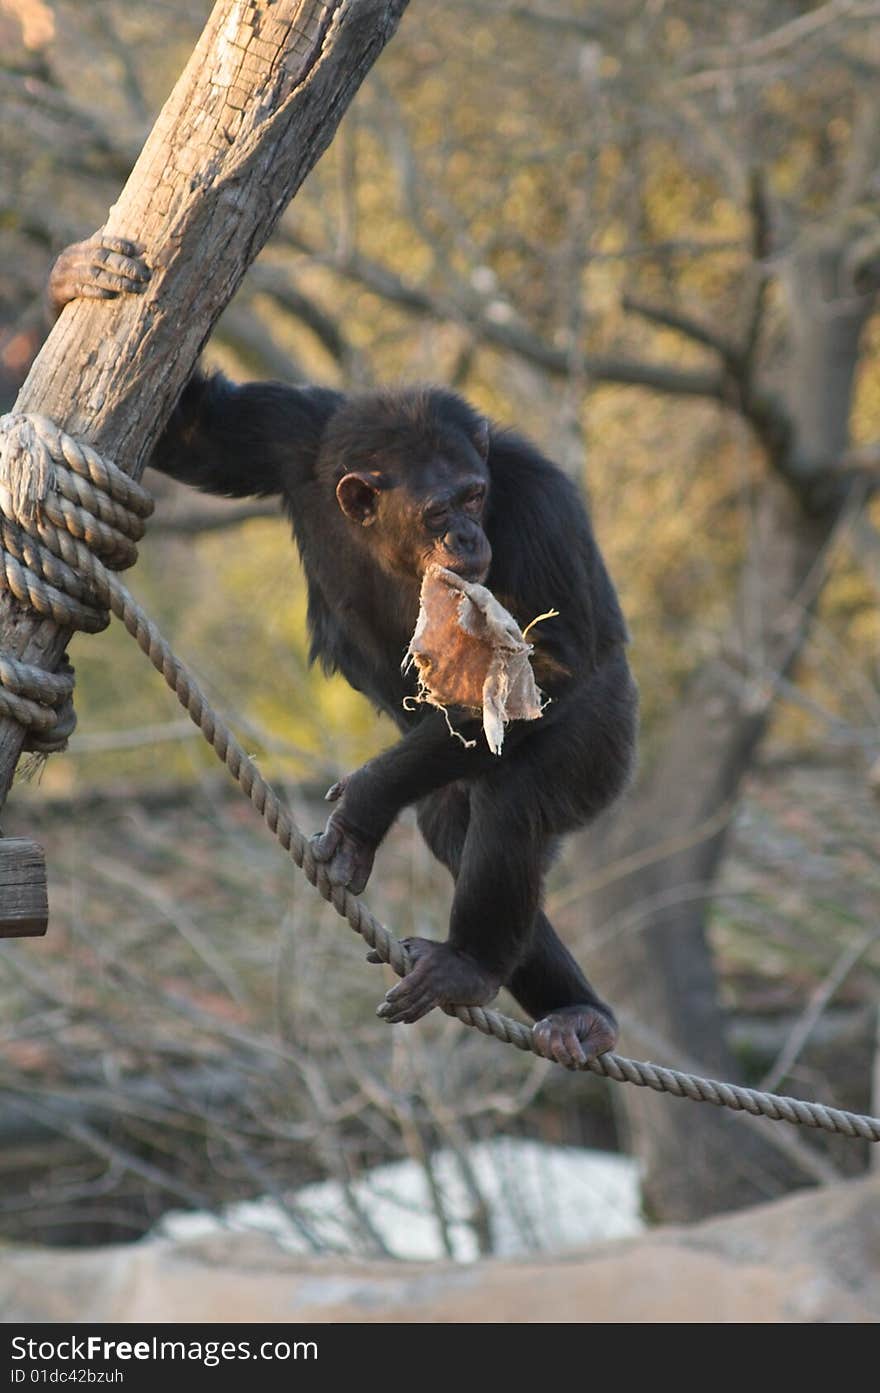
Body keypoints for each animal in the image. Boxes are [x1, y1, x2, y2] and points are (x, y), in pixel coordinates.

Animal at [48, 236, 634, 1064]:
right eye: (440, 508)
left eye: (476, 494)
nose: (467, 534)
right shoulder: (293, 434)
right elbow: (194, 431)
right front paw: (79, 273)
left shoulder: (541, 503)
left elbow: (544, 665)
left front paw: (359, 810)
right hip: (453, 763)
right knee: (454, 825)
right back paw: (558, 1001)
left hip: (604, 742)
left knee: (516, 806)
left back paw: (489, 973)